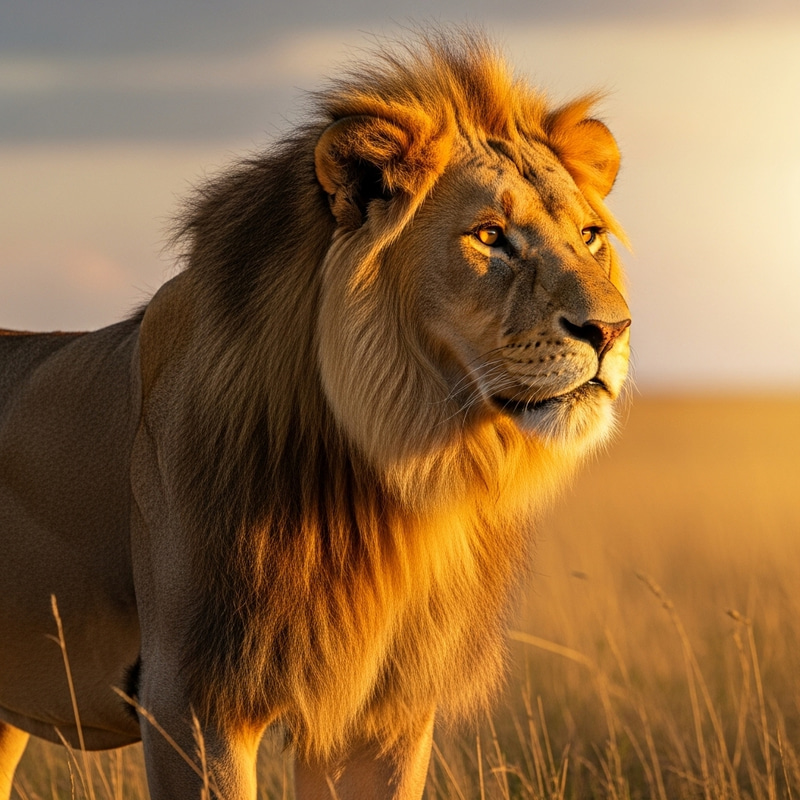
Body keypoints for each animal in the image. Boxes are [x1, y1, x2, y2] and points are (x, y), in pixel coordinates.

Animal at [0, 31, 630, 800]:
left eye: (591, 235)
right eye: (489, 236)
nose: (612, 330)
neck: (390, 474)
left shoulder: (384, 711)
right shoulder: (192, 698)